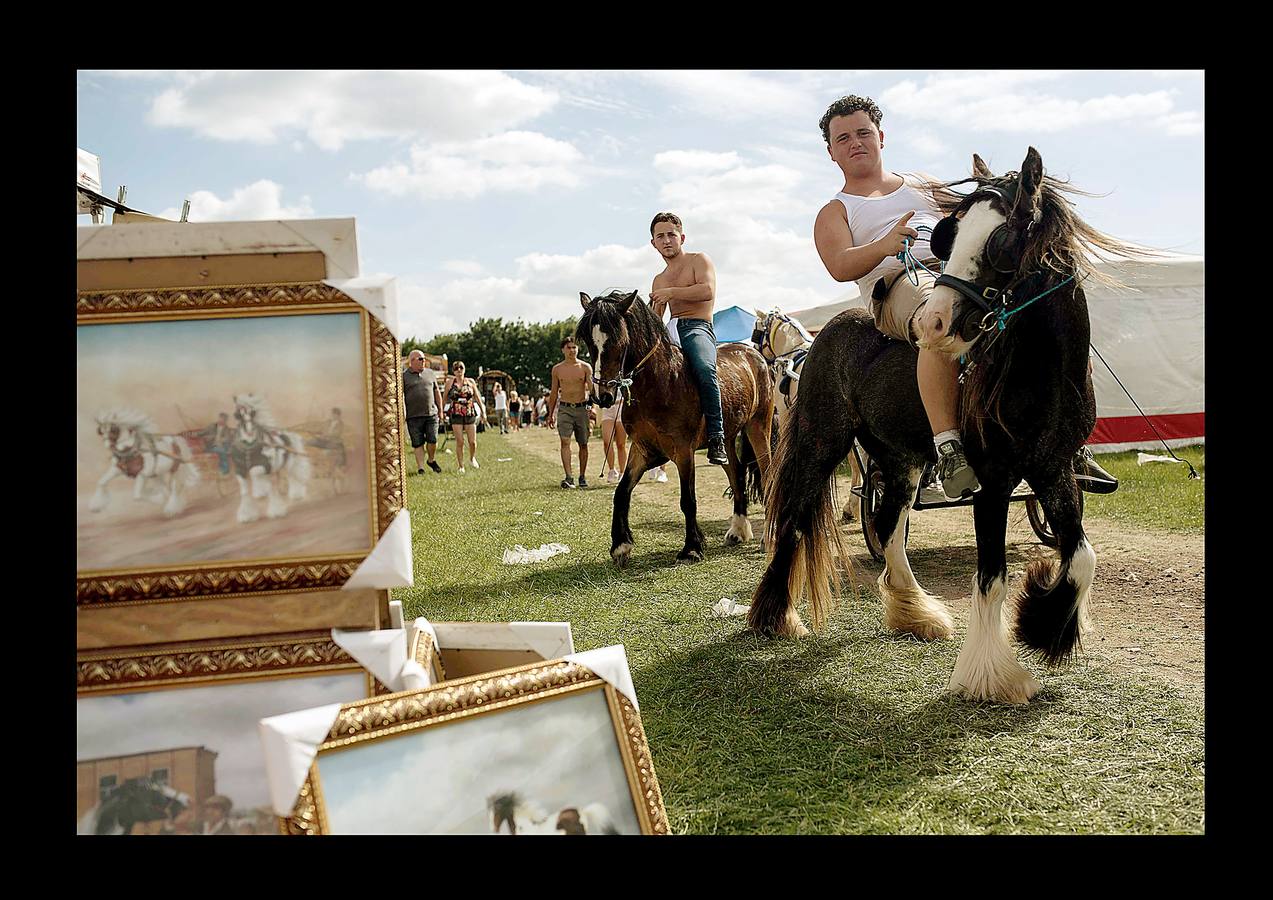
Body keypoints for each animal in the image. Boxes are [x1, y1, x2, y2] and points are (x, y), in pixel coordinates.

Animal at [577, 292, 773, 567]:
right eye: (588, 340)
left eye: (618, 339)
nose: (602, 396)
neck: (658, 382)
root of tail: (754, 355)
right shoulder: (643, 450)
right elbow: (621, 492)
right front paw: (620, 545)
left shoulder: (683, 451)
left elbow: (687, 500)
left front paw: (692, 548)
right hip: (726, 439)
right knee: (736, 473)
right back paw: (738, 529)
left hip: (759, 427)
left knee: (768, 475)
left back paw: (767, 537)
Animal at [748, 149, 1150, 702]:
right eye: (950, 235)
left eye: (1002, 239)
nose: (931, 322)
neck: (1039, 372)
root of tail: (823, 335)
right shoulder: (994, 481)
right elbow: (992, 577)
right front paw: (990, 675)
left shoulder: (1052, 468)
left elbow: (1082, 557)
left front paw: (1046, 629)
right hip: (820, 440)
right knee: (792, 518)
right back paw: (777, 617)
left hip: (899, 461)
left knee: (888, 527)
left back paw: (914, 612)